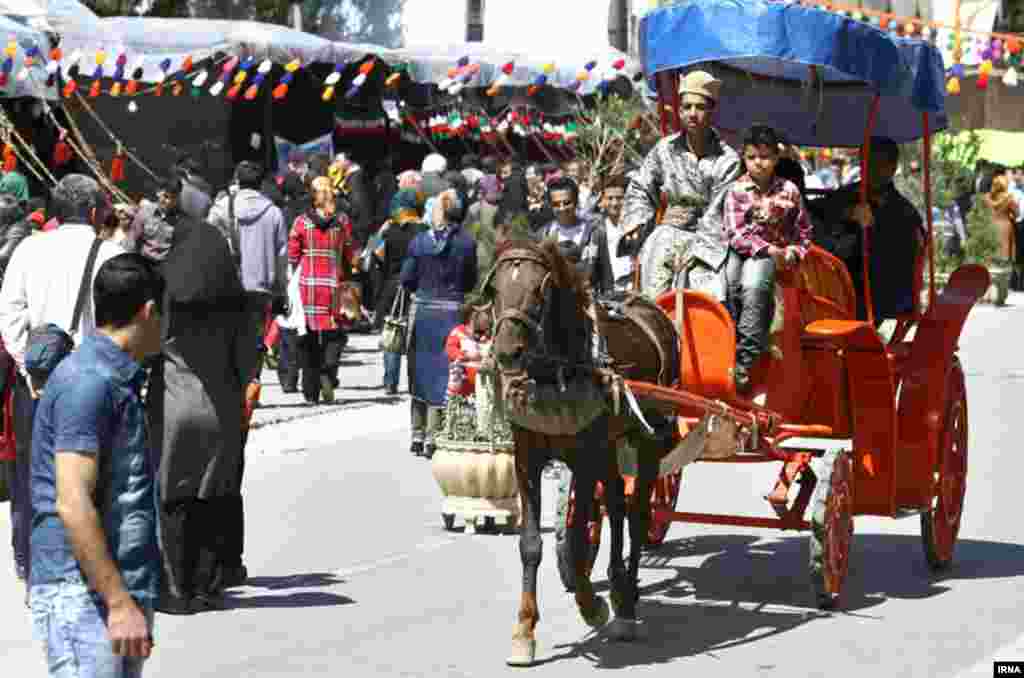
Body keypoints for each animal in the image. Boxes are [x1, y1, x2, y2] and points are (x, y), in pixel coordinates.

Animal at [481, 241, 679, 667]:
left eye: (540, 290)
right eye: (494, 289)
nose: (507, 351)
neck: (555, 370)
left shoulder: (585, 458)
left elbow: (575, 536)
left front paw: (591, 605)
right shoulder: (526, 458)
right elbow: (531, 545)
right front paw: (524, 631)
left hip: (647, 438)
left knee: (637, 515)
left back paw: (626, 606)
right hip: (611, 446)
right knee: (618, 506)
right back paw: (620, 586)